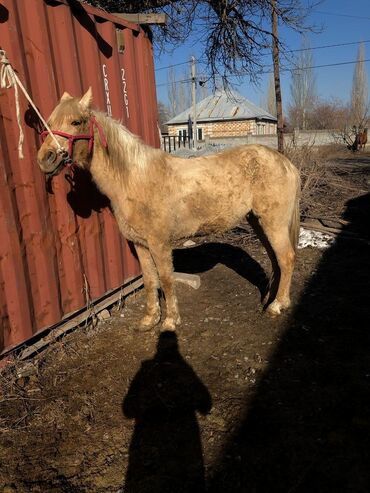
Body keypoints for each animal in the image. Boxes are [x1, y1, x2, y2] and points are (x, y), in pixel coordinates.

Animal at [36, 90, 300, 332]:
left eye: (76, 122)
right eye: (49, 122)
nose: (45, 159)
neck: (134, 179)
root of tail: (286, 163)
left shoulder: (159, 243)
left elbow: (166, 279)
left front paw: (170, 321)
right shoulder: (140, 244)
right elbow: (149, 279)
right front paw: (150, 319)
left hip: (273, 223)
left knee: (286, 258)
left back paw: (277, 305)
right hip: (259, 222)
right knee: (276, 260)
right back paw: (268, 299)